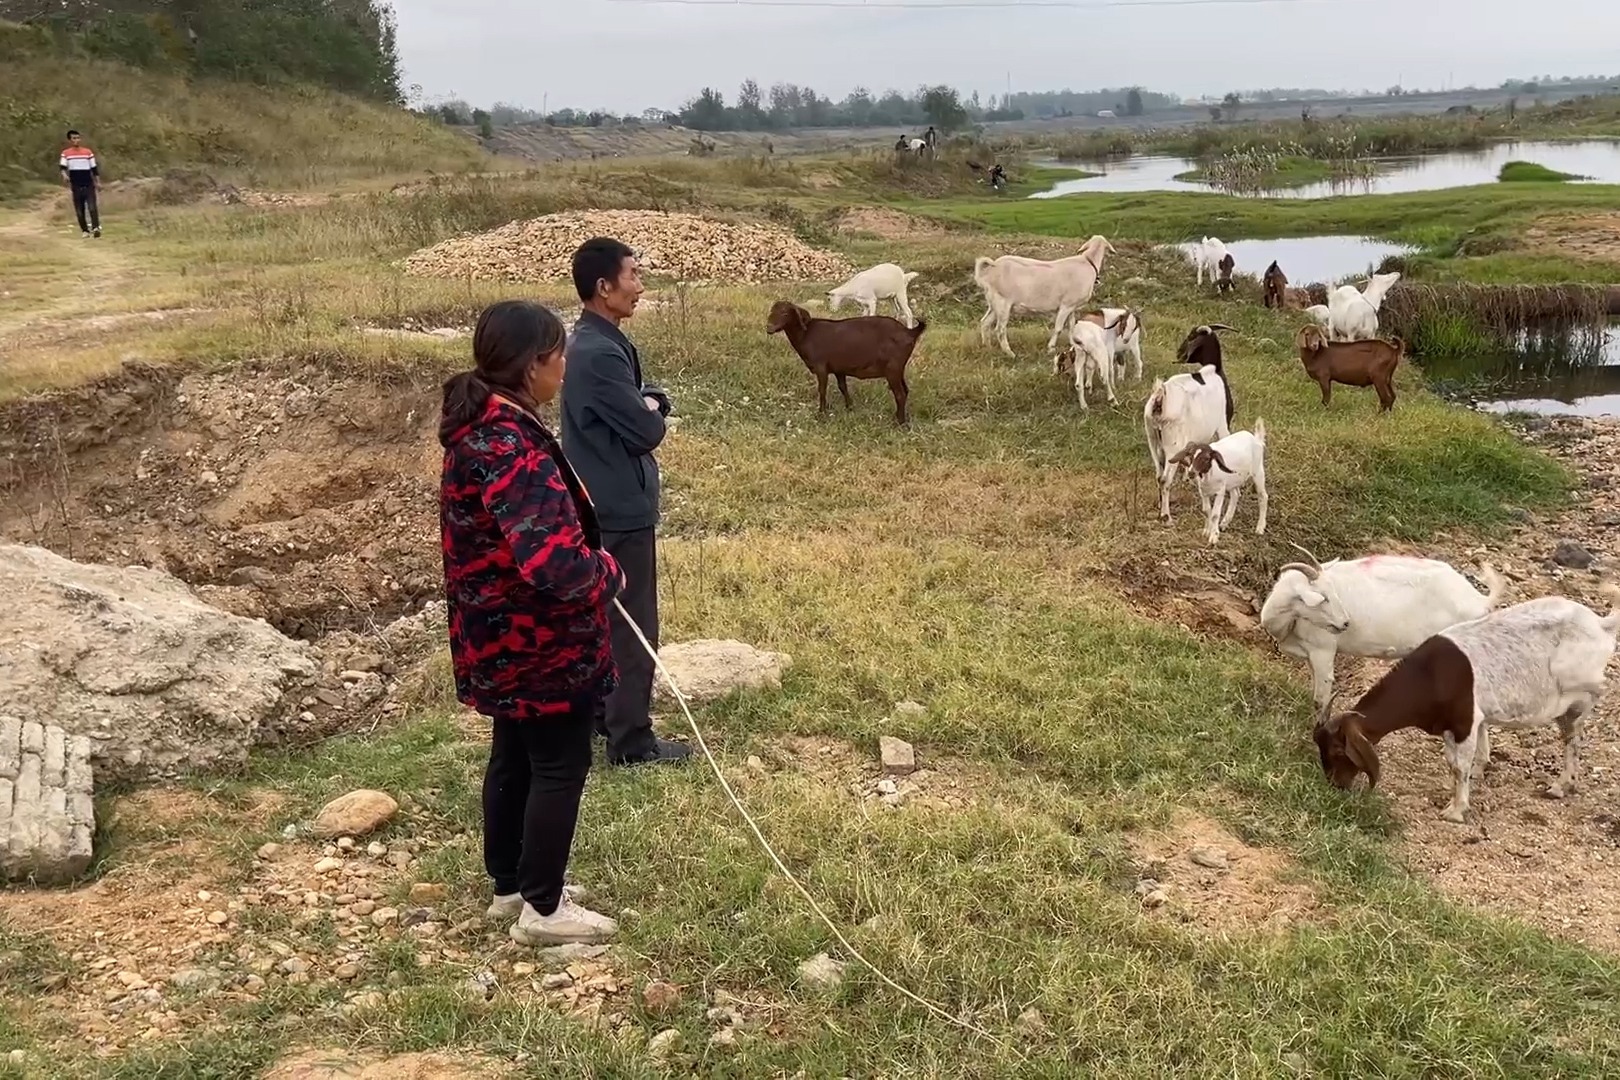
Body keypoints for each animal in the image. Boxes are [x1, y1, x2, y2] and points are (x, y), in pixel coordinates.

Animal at [761, 302, 926, 427]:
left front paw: (821, 413)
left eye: (785, 313)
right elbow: (843, 387)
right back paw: (899, 417)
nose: (769, 327)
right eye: (772, 310)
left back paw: (899, 422)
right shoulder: (838, 369)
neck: (806, 335)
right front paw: (850, 408)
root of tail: (910, 332)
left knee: (899, 394)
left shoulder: (821, 367)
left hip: (893, 369)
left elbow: (822, 390)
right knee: (905, 391)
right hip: (899, 369)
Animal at [972, 234, 1114, 356]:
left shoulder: (1072, 306)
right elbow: (1058, 328)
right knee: (1000, 329)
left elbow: (1072, 326)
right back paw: (1010, 353)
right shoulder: (1066, 305)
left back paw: (988, 347)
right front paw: (1051, 348)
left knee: (985, 322)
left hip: (994, 303)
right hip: (1003, 302)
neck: (1087, 262)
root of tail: (991, 269)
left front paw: (1074, 345)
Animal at [1146, 362, 1231, 524]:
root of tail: (1160, 399)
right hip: (1172, 447)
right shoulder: (1222, 426)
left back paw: (1160, 506)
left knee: (1158, 475)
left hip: (1153, 441)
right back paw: (1166, 516)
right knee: (1165, 480)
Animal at [1257, 550, 1509, 718]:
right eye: (1324, 598)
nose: (1345, 622)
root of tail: (1480, 601)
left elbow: (1320, 699)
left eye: (1330, 595)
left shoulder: (1323, 650)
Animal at [1315, 586, 1620, 822]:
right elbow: (1464, 757)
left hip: (1575, 690)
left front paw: (1455, 810)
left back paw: (1560, 783)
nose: (1335, 785)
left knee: (1579, 724)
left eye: (1340, 751)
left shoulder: (1463, 721)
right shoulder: (1461, 721)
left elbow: (1458, 766)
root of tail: (1600, 624)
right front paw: (1470, 781)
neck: (1430, 676)